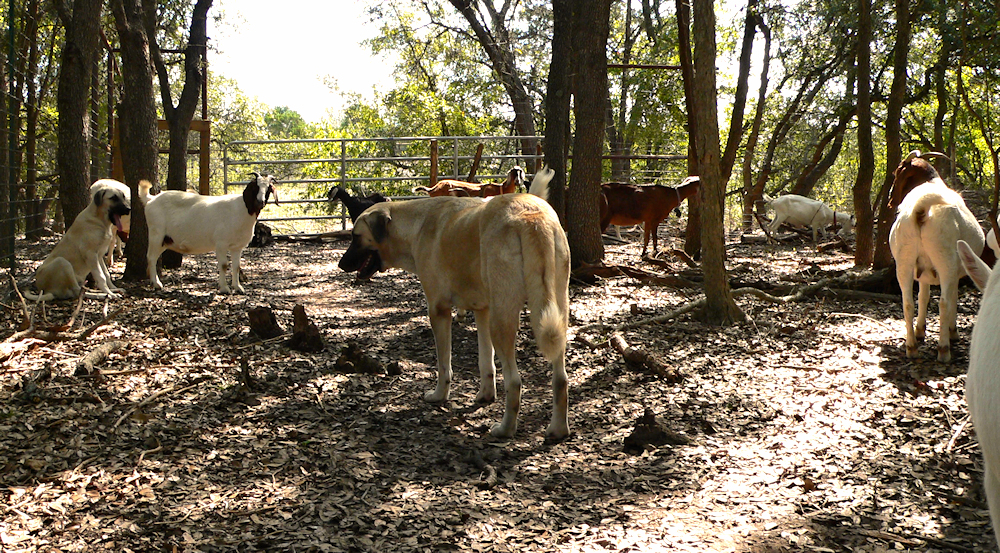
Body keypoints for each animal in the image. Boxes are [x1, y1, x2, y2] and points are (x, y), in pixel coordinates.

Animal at [140, 172, 278, 294]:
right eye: (255, 186)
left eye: (268, 189)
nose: (260, 202)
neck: (241, 210)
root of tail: (151, 199)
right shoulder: (221, 243)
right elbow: (223, 265)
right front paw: (224, 288)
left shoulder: (237, 247)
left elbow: (236, 266)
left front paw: (238, 288)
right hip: (156, 234)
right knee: (151, 257)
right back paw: (157, 284)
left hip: (165, 240)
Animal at [340, 166, 572, 438]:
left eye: (356, 236)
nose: (341, 264)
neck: (414, 226)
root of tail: (531, 215)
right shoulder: (483, 310)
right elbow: (486, 362)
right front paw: (485, 395)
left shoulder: (439, 310)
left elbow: (444, 364)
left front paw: (439, 395)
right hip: (554, 312)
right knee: (560, 379)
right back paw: (558, 429)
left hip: (503, 320)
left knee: (514, 382)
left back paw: (505, 429)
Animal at [892, 151, 984, 362]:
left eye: (897, 172)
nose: (891, 201)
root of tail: (921, 211)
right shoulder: (955, 272)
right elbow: (953, 297)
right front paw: (953, 332)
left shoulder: (923, 273)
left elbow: (923, 296)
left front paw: (920, 331)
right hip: (945, 260)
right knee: (943, 302)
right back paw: (943, 349)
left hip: (904, 261)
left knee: (907, 302)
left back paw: (911, 347)